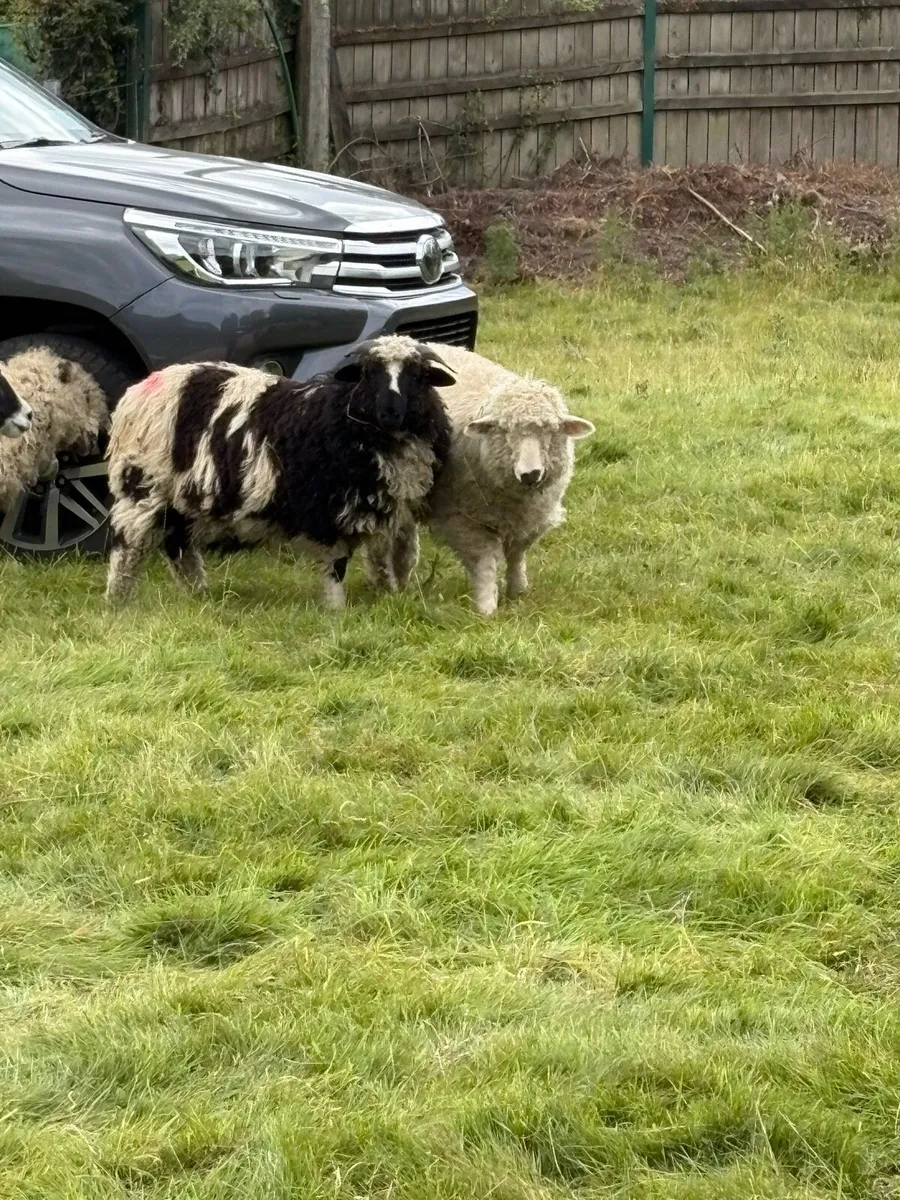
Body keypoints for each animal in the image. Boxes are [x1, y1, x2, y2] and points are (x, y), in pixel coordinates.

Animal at [103, 336, 455, 608]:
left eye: (417, 375)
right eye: (369, 374)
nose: (390, 412)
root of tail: (138, 391)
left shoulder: (384, 506)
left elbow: (385, 556)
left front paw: (389, 595)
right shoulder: (328, 507)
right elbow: (336, 565)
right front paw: (335, 610)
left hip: (182, 495)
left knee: (179, 546)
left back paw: (198, 594)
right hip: (143, 484)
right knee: (128, 546)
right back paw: (118, 600)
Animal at [365, 343, 594, 616]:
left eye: (550, 431)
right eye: (505, 430)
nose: (530, 474)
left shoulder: (530, 518)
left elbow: (516, 555)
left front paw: (517, 591)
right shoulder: (467, 522)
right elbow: (484, 564)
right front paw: (486, 608)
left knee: (404, 538)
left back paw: (401, 580)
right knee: (379, 542)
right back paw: (384, 585)